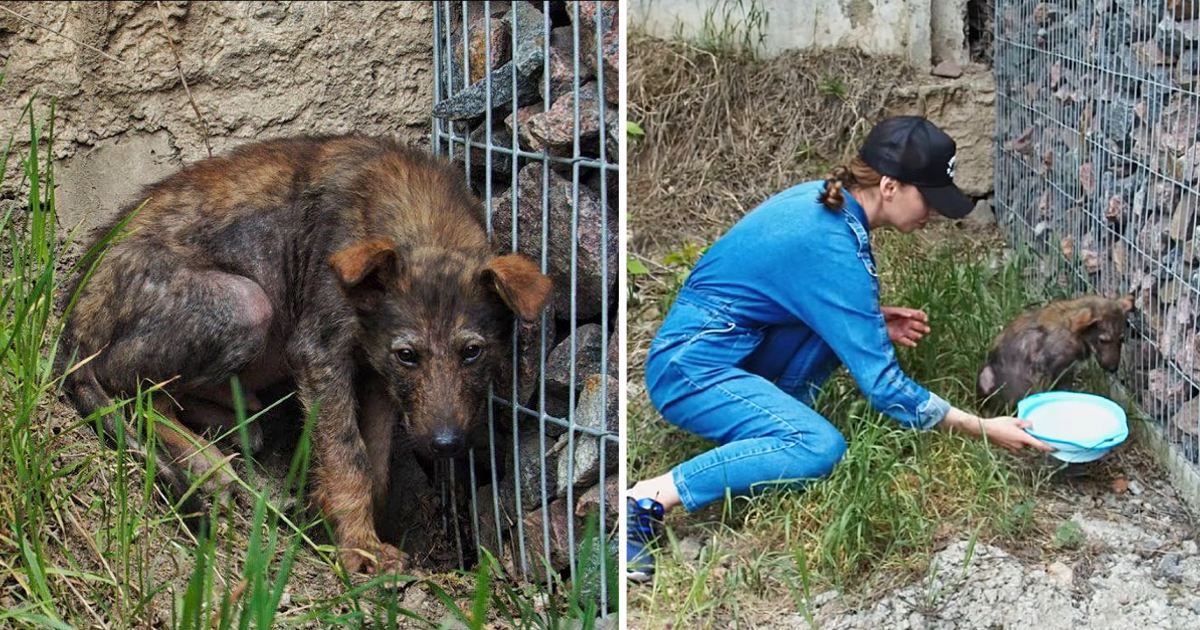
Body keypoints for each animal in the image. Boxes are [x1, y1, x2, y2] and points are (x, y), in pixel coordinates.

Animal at [58, 133, 554, 573]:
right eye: (408, 355)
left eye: (472, 352)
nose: (445, 445)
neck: (419, 219)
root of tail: (73, 319)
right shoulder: (320, 353)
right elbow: (348, 456)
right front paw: (360, 550)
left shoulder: (375, 373)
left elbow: (375, 464)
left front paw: (354, 527)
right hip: (245, 303)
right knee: (131, 388)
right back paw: (209, 463)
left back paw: (233, 421)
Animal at [974, 295, 1132, 408]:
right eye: (1103, 340)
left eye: (1121, 340)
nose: (1113, 369)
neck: (1073, 333)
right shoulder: (1055, 370)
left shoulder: (1067, 371)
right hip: (988, 376)